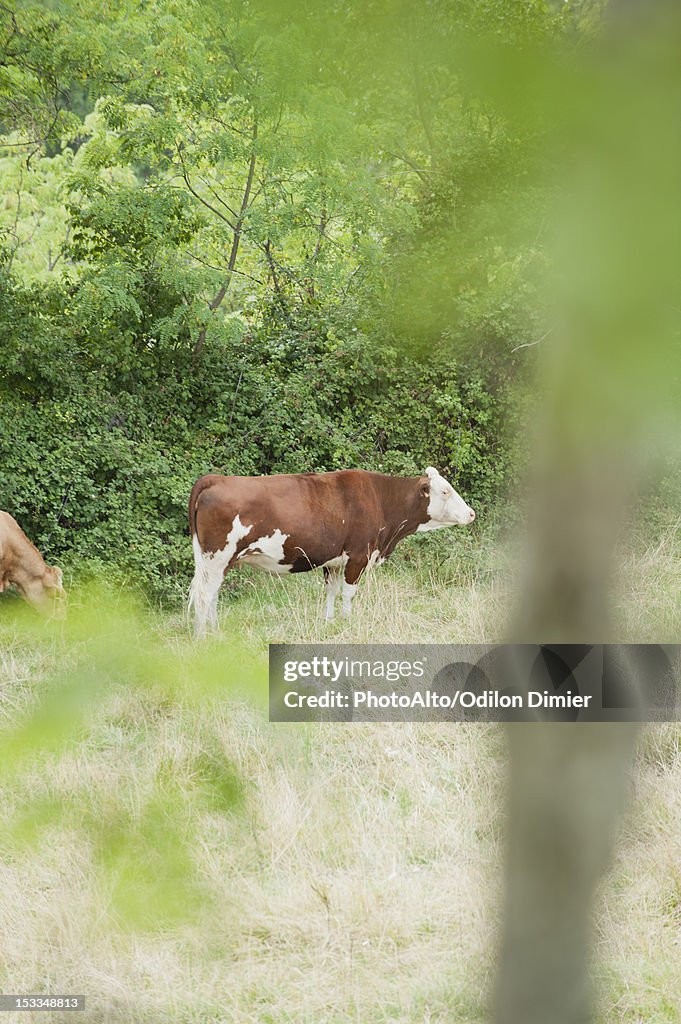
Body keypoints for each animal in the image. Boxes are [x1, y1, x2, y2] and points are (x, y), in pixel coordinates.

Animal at [186, 468, 473, 634]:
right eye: (445, 491)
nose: (471, 513)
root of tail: (215, 479)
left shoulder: (334, 561)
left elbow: (331, 592)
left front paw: (329, 621)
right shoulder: (358, 556)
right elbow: (348, 594)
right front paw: (347, 622)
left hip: (217, 562)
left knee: (211, 596)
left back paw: (216, 631)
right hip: (216, 557)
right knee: (203, 596)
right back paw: (204, 638)